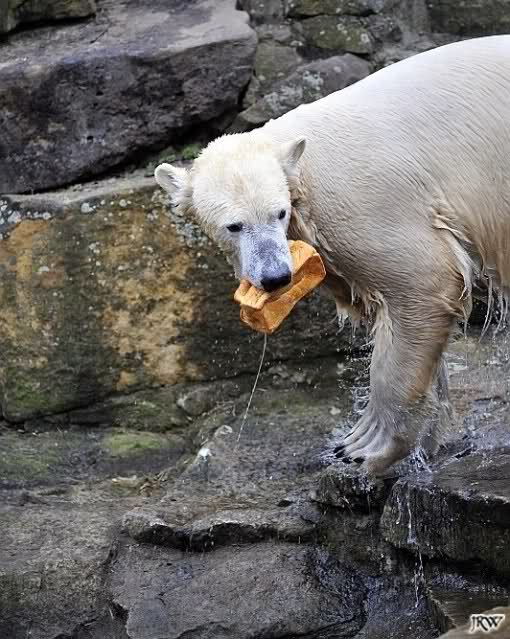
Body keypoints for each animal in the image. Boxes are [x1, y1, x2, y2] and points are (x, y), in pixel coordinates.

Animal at [155, 35, 510, 475]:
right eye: (234, 226)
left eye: (279, 212)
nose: (276, 277)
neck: (297, 163)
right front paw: (431, 436)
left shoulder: (360, 202)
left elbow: (424, 280)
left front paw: (364, 445)